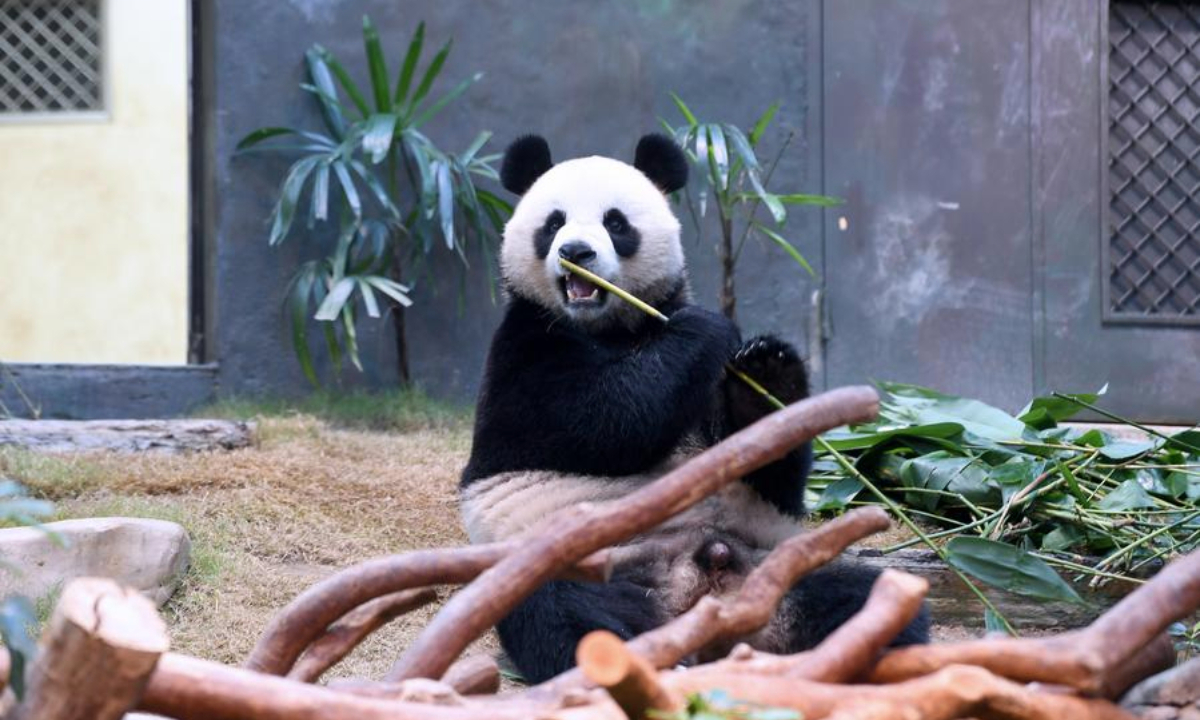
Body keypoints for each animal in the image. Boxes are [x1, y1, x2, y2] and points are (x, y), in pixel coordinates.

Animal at [458, 133, 926, 681]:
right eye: (553, 223)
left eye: (615, 223)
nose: (575, 251)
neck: (613, 325)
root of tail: (702, 596)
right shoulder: (521, 349)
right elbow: (594, 421)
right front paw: (704, 328)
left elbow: (768, 471)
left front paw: (766, 370)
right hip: (581, 563)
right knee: (569, 616)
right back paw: (648, 662)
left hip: (779, 567)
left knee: (865, 592)